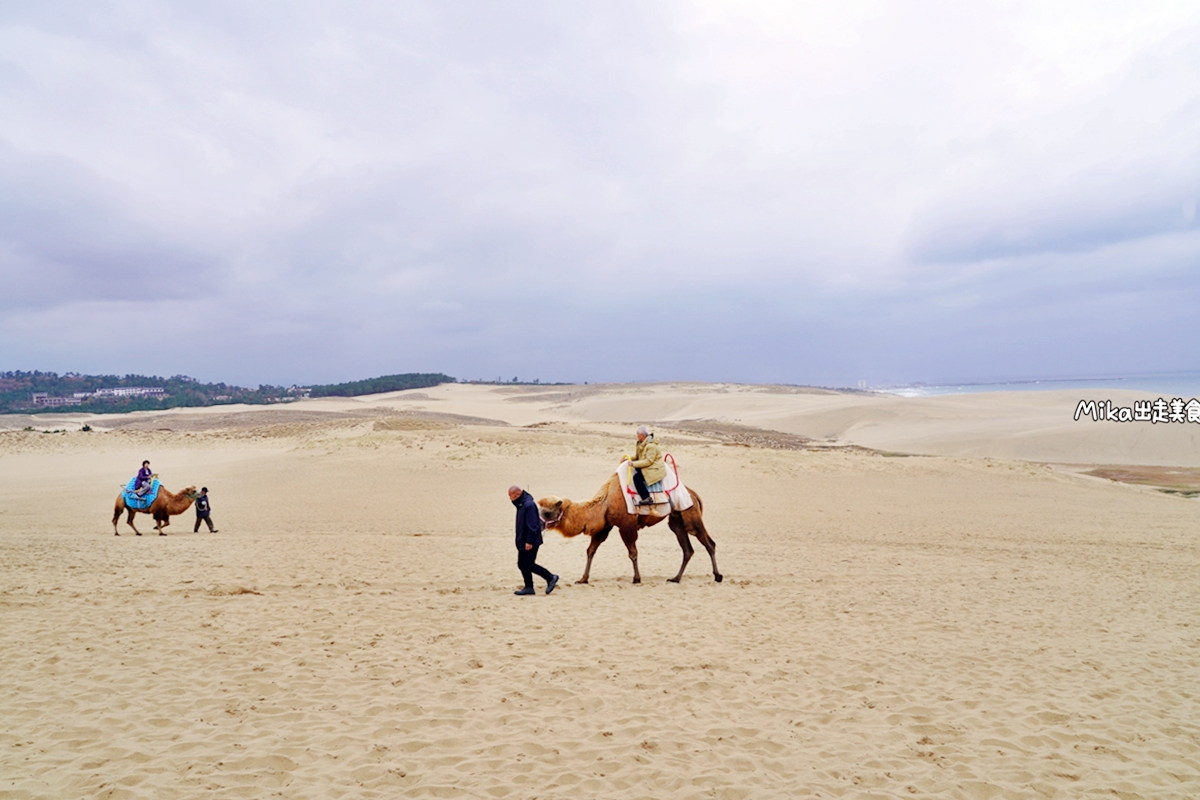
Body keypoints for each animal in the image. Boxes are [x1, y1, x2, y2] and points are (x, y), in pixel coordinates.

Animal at [537, 472, 720, 585]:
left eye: (546, 512)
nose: (538, 524)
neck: (605, 501)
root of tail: (693, 494)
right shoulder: (606, 526)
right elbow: (591, 550)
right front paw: (583, 579)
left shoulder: (626, 526)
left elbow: (632, 553)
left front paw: (637, 578)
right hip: (676, 520)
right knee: (687, 549)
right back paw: (675, 579)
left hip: (690, 513)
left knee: (708, 542)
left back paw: (718, 576)